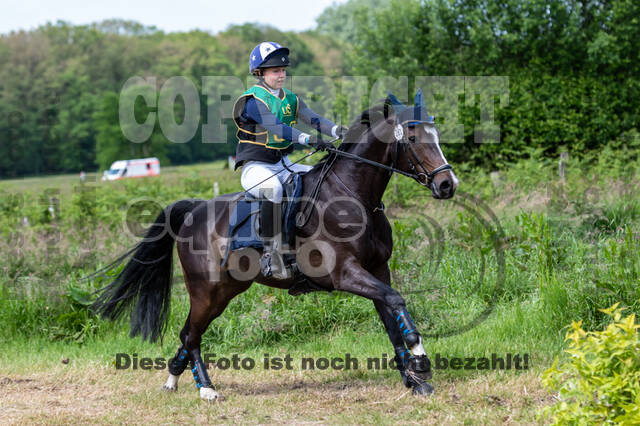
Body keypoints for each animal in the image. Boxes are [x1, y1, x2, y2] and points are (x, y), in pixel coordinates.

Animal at [91, 89, 459, 401]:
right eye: (413, 138)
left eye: (436, 135)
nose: (447, 184)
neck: (354, 198)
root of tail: (193, 210)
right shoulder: (345, 274)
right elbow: (396, 302)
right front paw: (420, 360)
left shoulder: (378, 269)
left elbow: (392, 319)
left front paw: (413, 379)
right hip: (206, 290)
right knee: (192, 335)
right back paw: (206, 389)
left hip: (226, 290)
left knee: (187, 333)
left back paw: (173, 379)